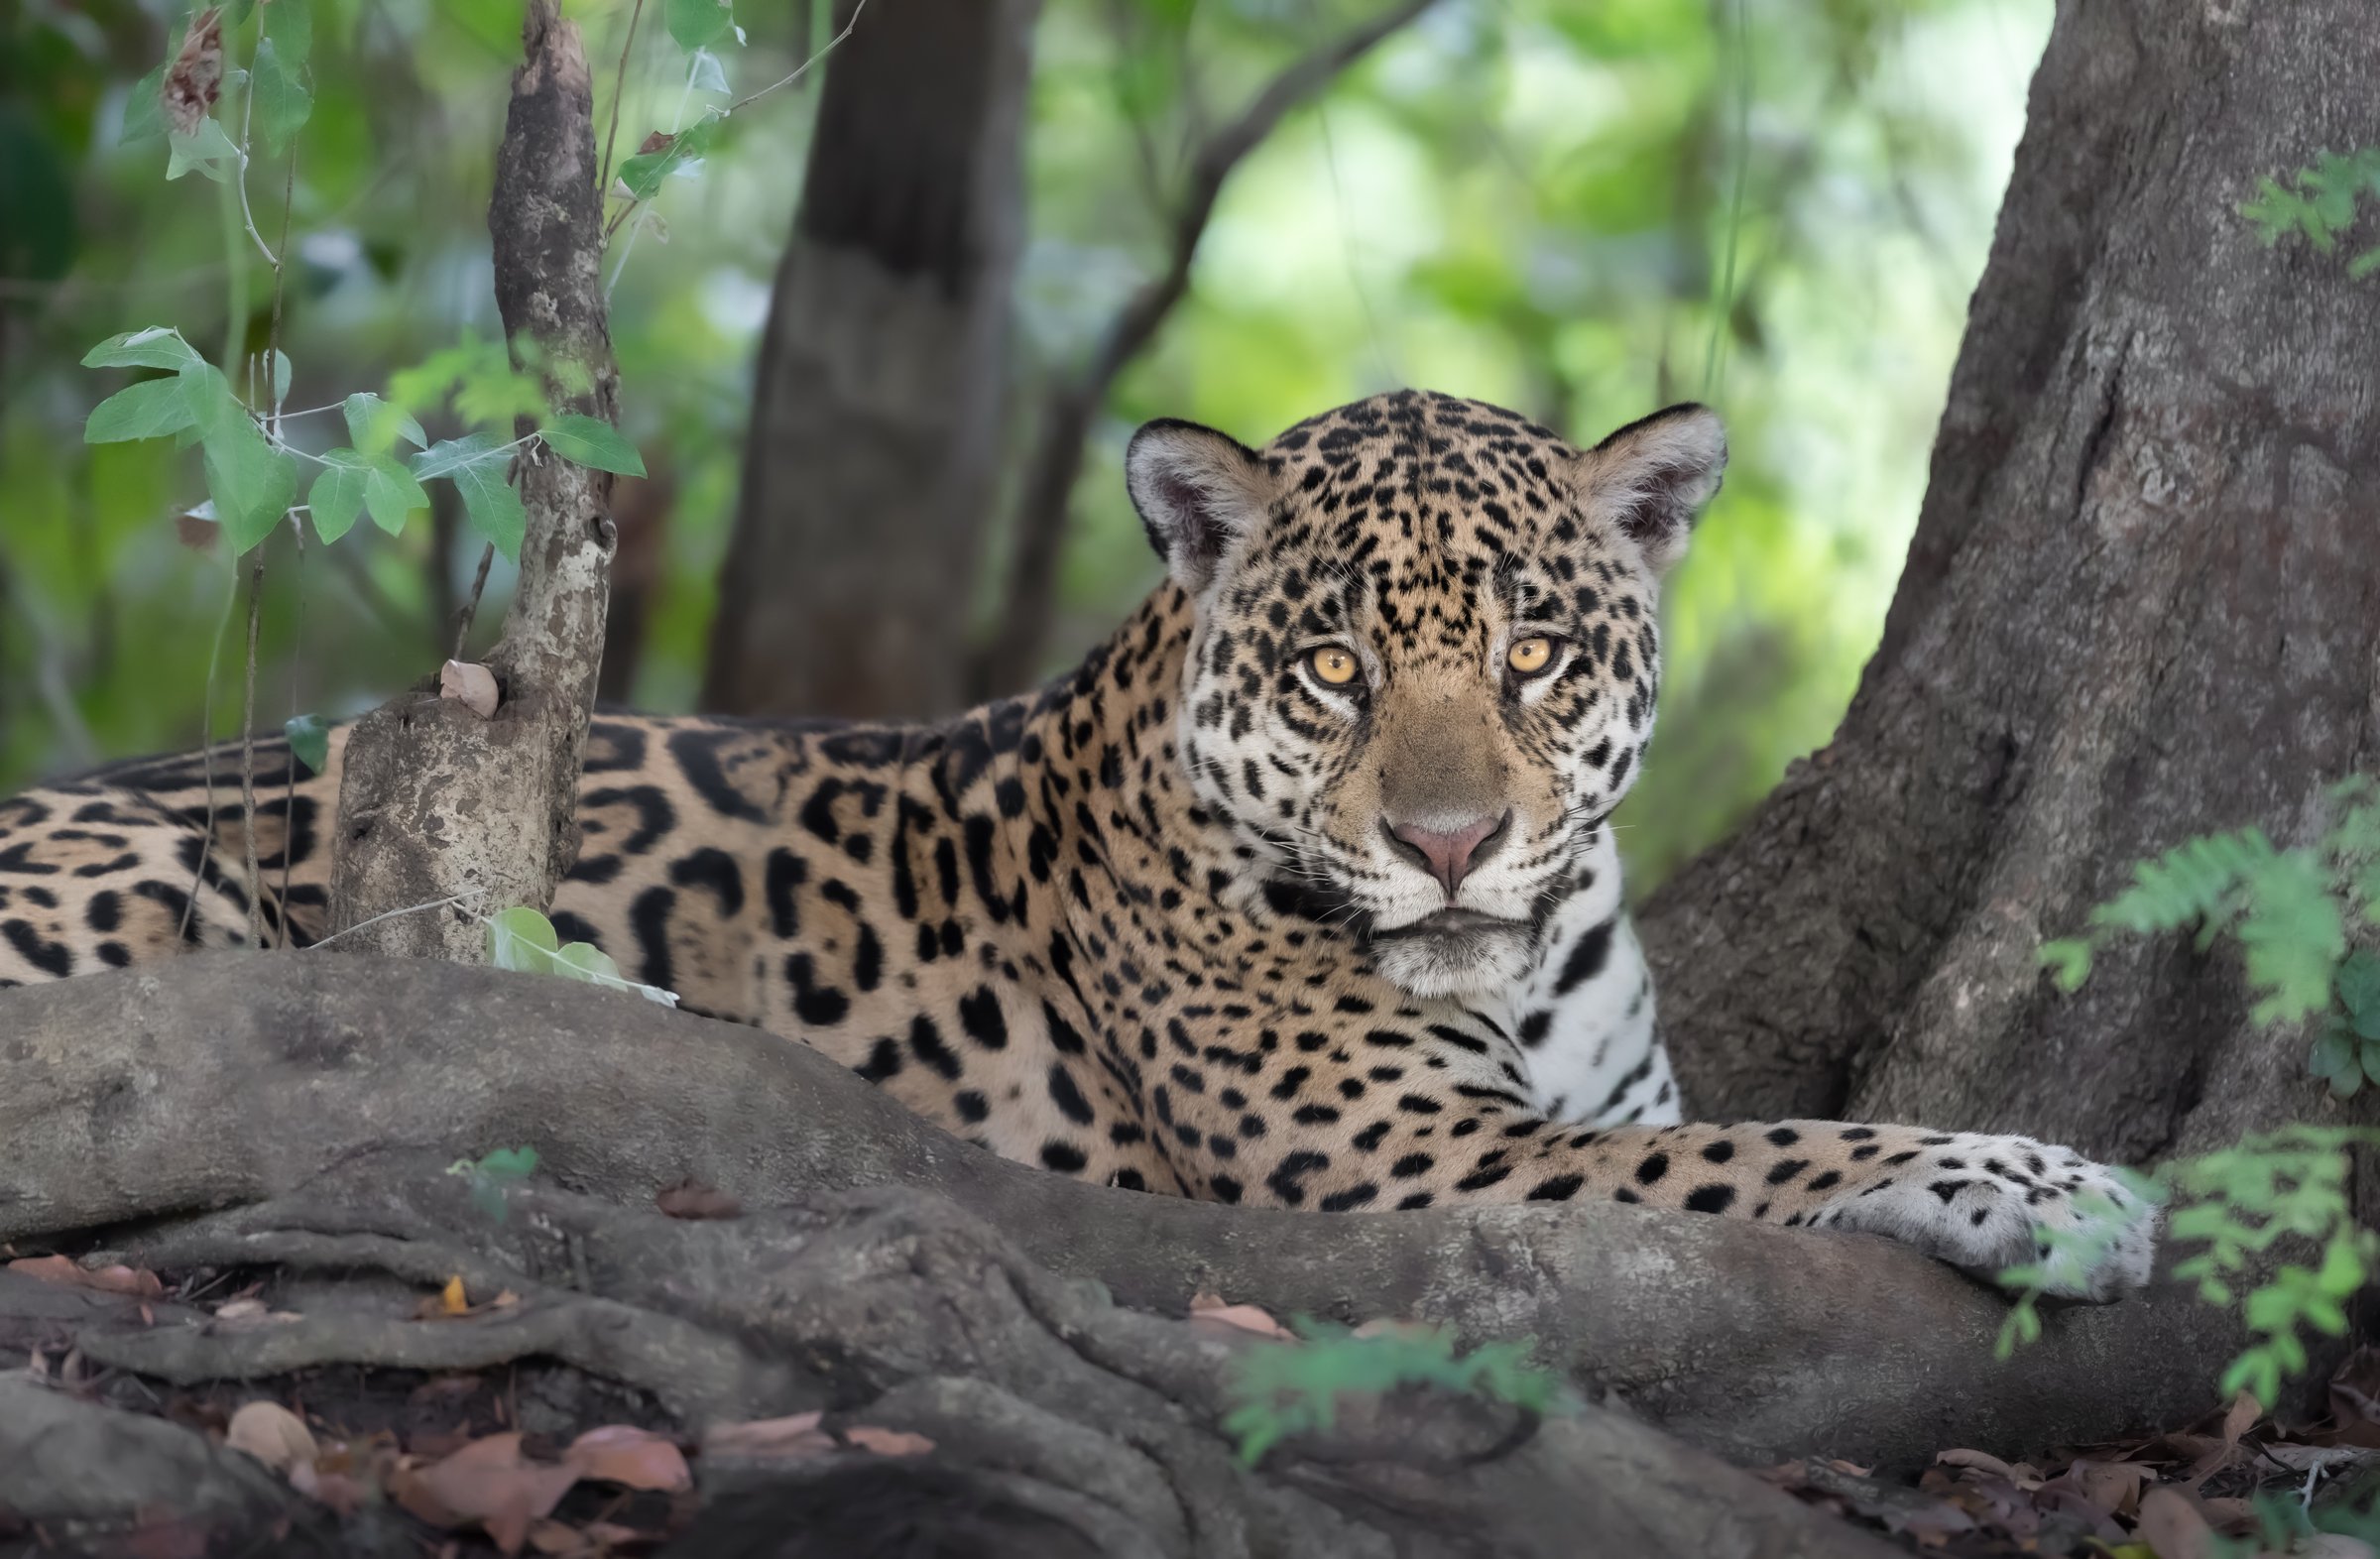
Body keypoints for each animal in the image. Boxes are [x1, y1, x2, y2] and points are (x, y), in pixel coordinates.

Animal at [0, 389, 2156, 1300]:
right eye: (1337, 667)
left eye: (1532, 655)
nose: (1455, 841)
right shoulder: (1417, 1167)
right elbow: (1776, 1153)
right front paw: (2048, 1185)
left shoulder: (1578, 1109)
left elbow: (1731, 1135)